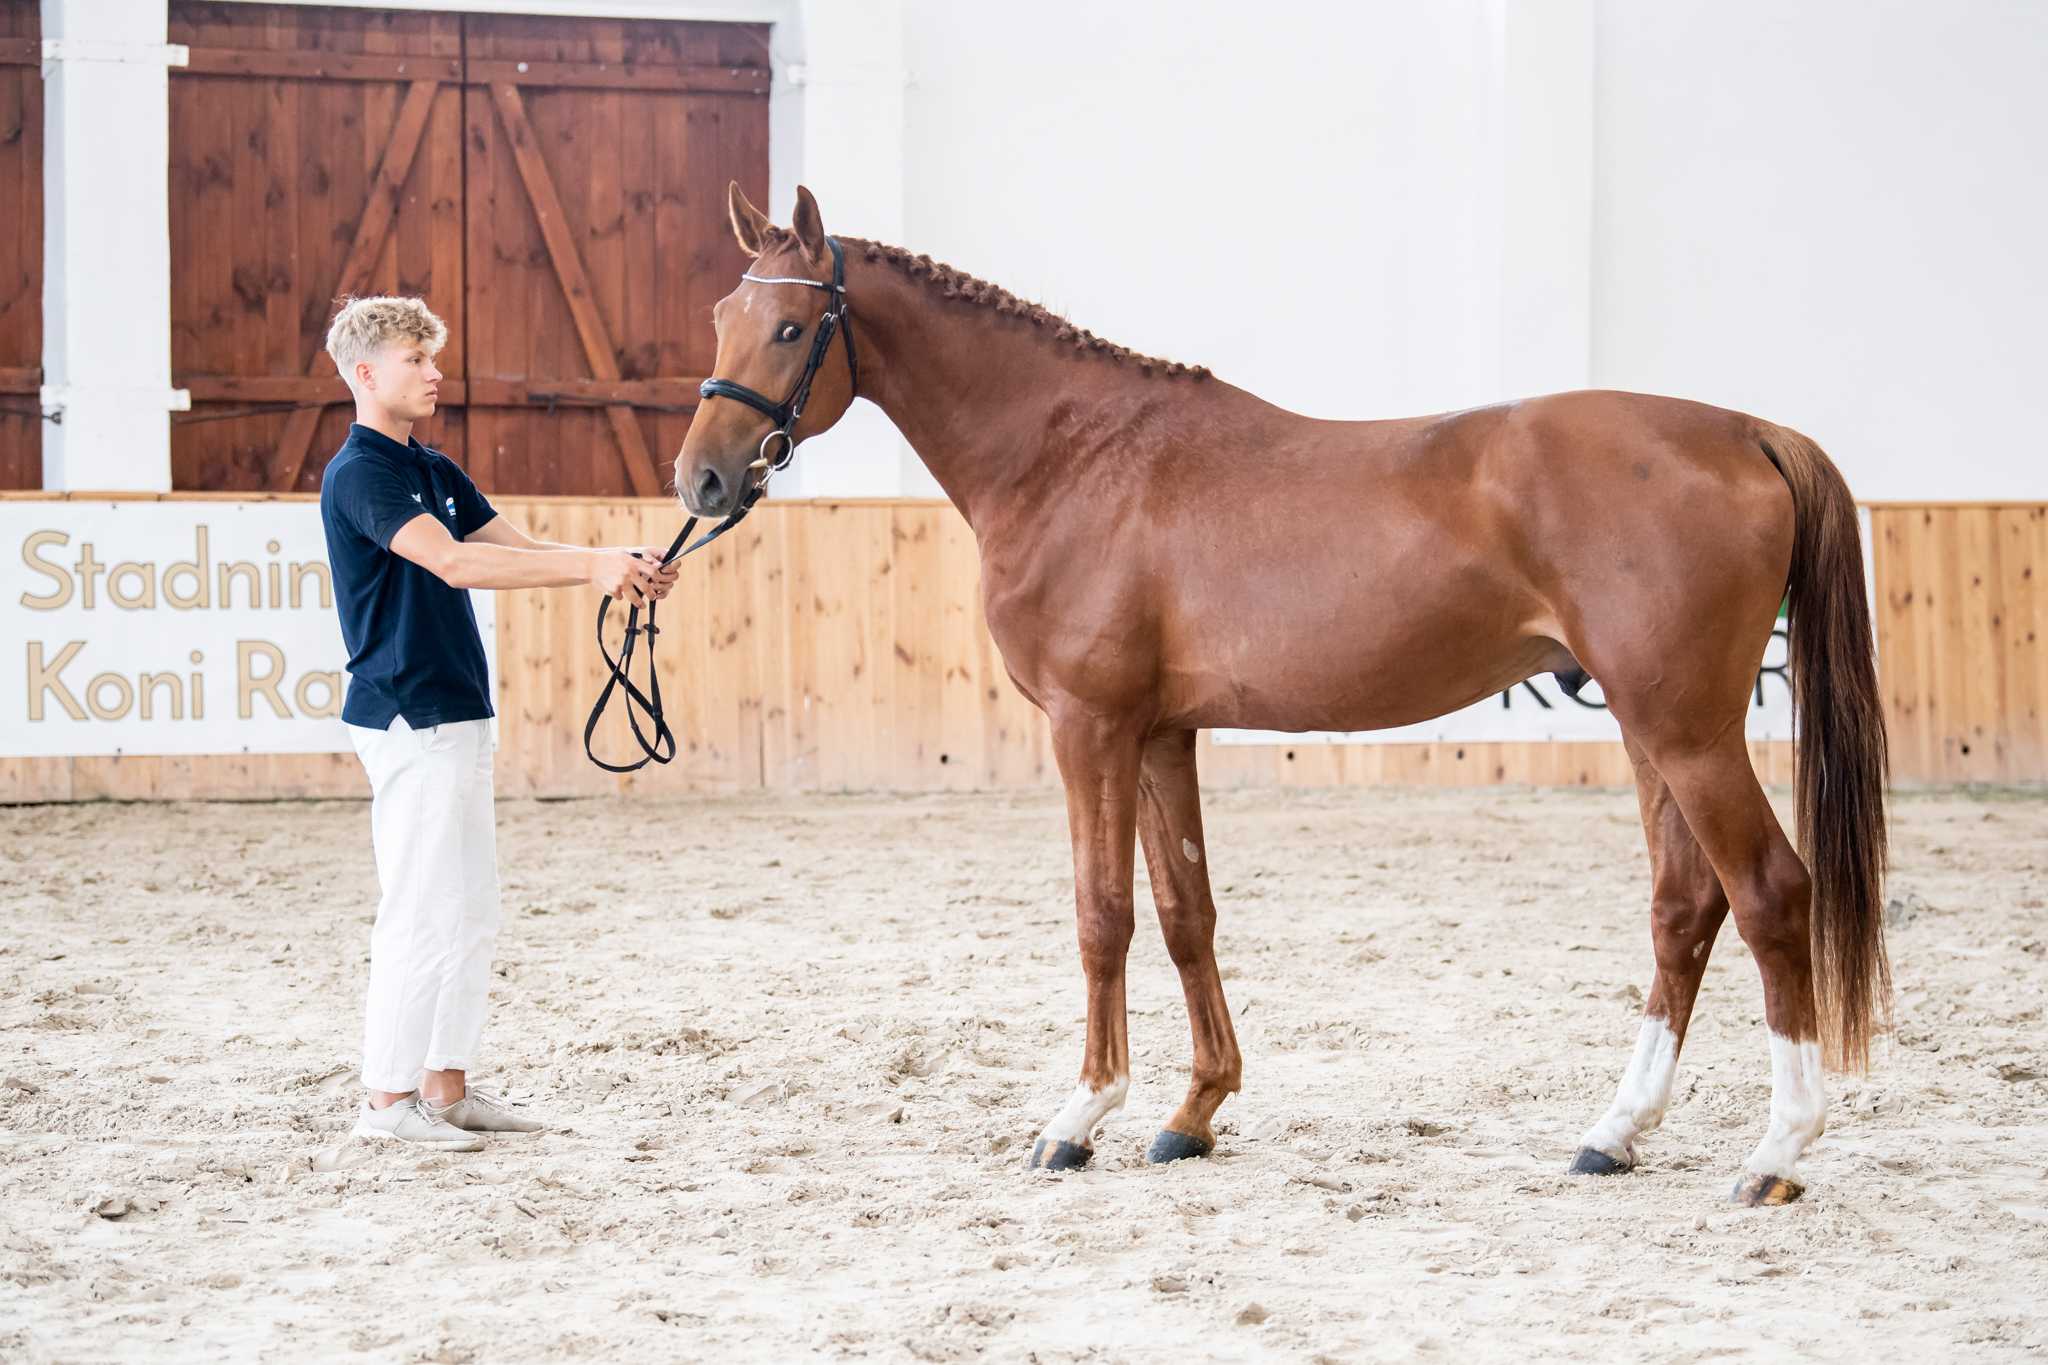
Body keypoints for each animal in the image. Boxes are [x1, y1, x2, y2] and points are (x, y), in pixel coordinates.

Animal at [677, 183, 1890, 1206]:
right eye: (720, 317)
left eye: (789, 329)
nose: (701, 479)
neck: (1074, 457)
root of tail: (1747, 433)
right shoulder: (1160, 734)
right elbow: (1185, 915)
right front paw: (1192, 1112)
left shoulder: (1090, 727)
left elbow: (1101, 915)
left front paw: (1079, 1117)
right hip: (1650, 731)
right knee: (1683, 908)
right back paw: (1614, 1132)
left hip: (1688, 733)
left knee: (1770, 893)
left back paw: (1775, 1152)